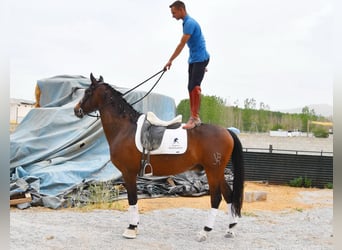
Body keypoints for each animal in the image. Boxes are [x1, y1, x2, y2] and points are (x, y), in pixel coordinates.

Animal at [74, 73, 244, 241]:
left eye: (88, 92)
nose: (76, 110)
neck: (125, 128)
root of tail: (227, 131)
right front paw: (135, 226)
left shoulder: (128, 173)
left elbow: (132, 199)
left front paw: (131, 228)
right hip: (218, 172)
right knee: (229, 195)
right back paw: (230, 228)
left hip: (212, 171)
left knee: (216, 198)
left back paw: (205, 231)